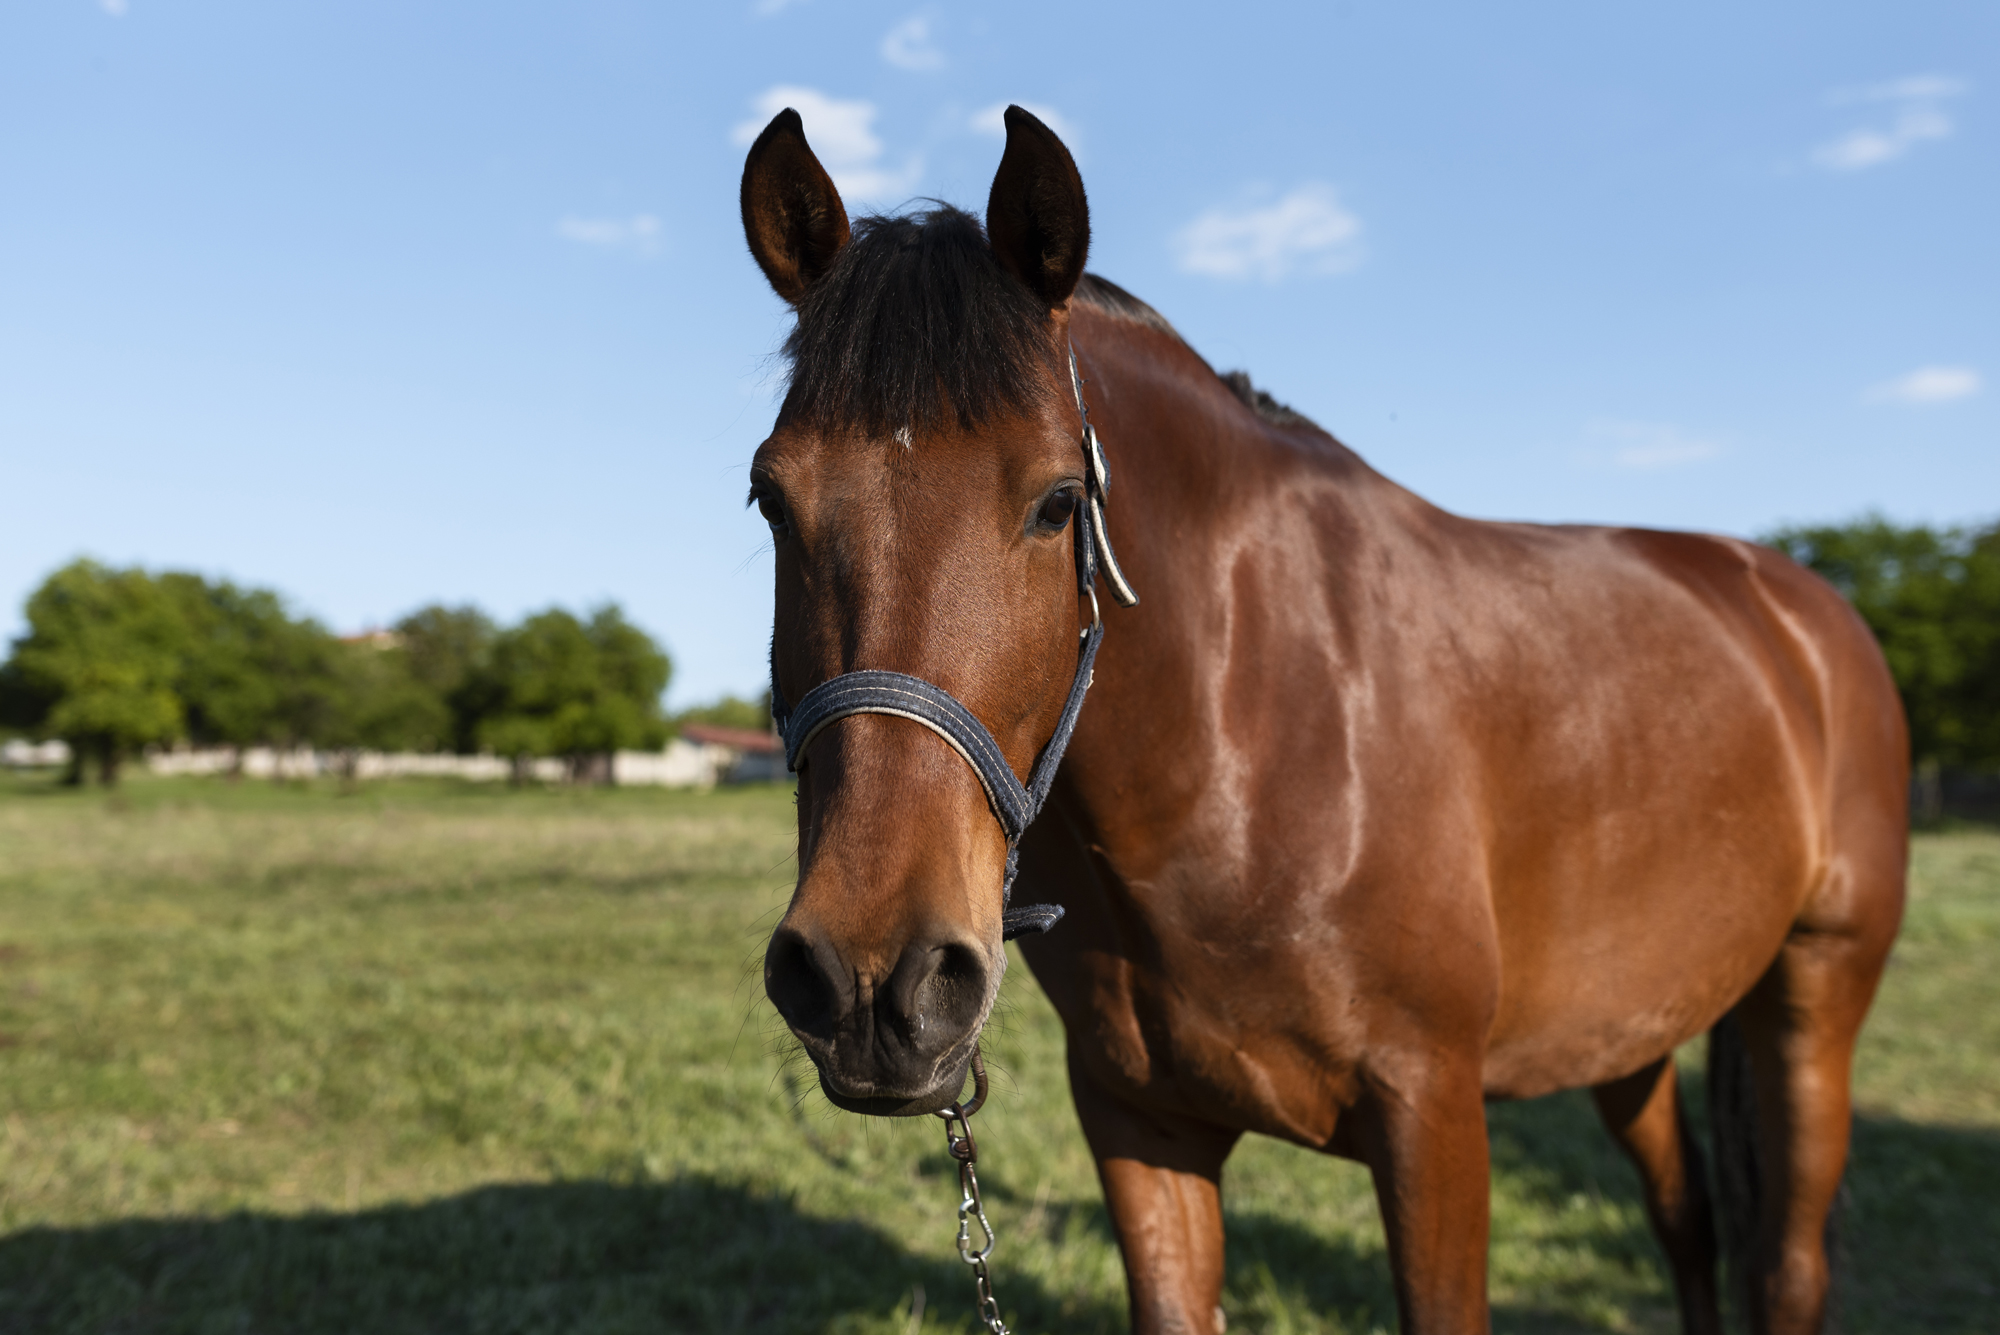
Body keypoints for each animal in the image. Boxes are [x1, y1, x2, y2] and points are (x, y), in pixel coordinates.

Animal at [740, 105, 1907, 1335]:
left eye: (1058, 502)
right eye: (772, 498)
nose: (875, 982)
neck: (1246, 741)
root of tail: (1802, 608)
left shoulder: (1433, 1118)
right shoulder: (1139, 1124)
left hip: (1812, 1000)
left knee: (1786, 1262)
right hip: (1625, 1031)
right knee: (1686, 1222)